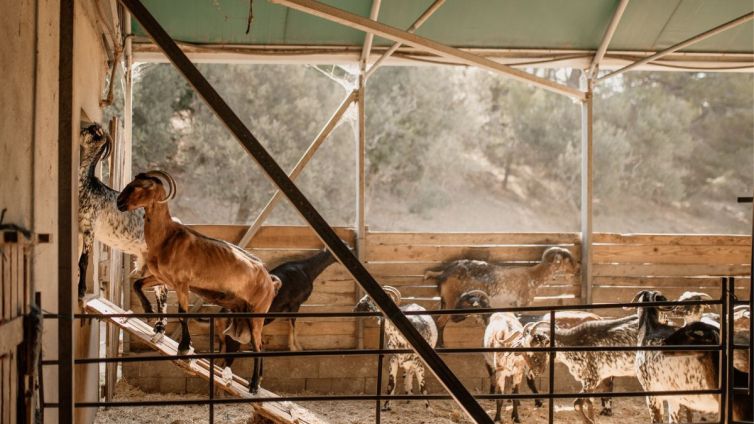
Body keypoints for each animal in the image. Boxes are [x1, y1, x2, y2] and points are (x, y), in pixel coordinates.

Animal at [76, 124, 167, 336]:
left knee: (164, 290)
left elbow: (83, 261)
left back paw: (160, 327)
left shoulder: (90, 229)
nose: (80, 129)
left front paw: (81, 291)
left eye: (92, 130)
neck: (88, 187)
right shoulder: (80, 228)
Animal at [116, 170, 280, 394]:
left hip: (257, 313)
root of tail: (269, 281)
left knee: (258, 346)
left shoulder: (181, 283)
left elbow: (183, 314)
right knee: (258, 342)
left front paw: (184, 347)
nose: (119, 202)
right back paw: (254, 383)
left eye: (142, 186)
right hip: (244, 314)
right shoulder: (162, 277)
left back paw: (254, 385)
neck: (167, 237)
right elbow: (137, 284)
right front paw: (149, 312)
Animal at [214, 248, 338, 384]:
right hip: (233, 340)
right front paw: (295, 348)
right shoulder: (295, 303)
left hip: (223, 341)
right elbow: (292, 324)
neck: (307, 270)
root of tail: (220, 317)